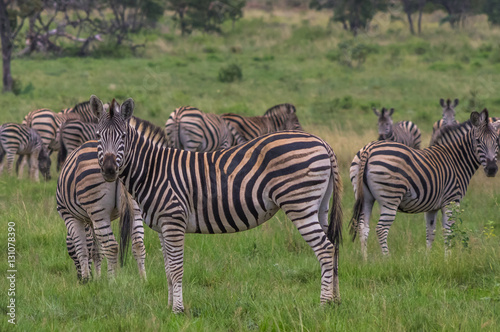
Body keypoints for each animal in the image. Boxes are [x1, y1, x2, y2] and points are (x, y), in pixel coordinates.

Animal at [57, 140, 146, 280]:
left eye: (70, 252)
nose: (79, 278)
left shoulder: (69, 215)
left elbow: (82, 248)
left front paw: (87, 279)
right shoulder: (90, 220)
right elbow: (96, 250)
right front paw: (97, 279)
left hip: (98, 211)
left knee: (112, 246)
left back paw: (112, 281)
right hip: (134, 208)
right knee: (138, 244)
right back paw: (143, 279)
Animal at [90, 95, 344, 314]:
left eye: (123, 136)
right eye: (98, 136)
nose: (109, 170)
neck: (154, 170)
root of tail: (322, 142)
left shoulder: (173, 221)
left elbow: (176, 268)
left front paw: (178, 310)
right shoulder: (163, 226)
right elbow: (167, 269)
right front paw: (168, 307)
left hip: (300, 204)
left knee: (325, 248)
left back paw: (323, 304)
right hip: (319, 206)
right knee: (332, 246)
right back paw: (335, 301)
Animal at [350, 109, 500, 260]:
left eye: (497, 141)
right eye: (478, 141)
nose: (492, 169)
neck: (456, 159)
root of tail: (369, 149)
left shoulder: (432, 206)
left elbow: (430, 233)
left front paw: (428, 260)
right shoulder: (451, 200)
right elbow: (448, 232)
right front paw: (448, 260)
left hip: (365, 197)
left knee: (363, 227)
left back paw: (365, 260)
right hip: (390, 197)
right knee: (381, 229)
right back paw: (387, 259)